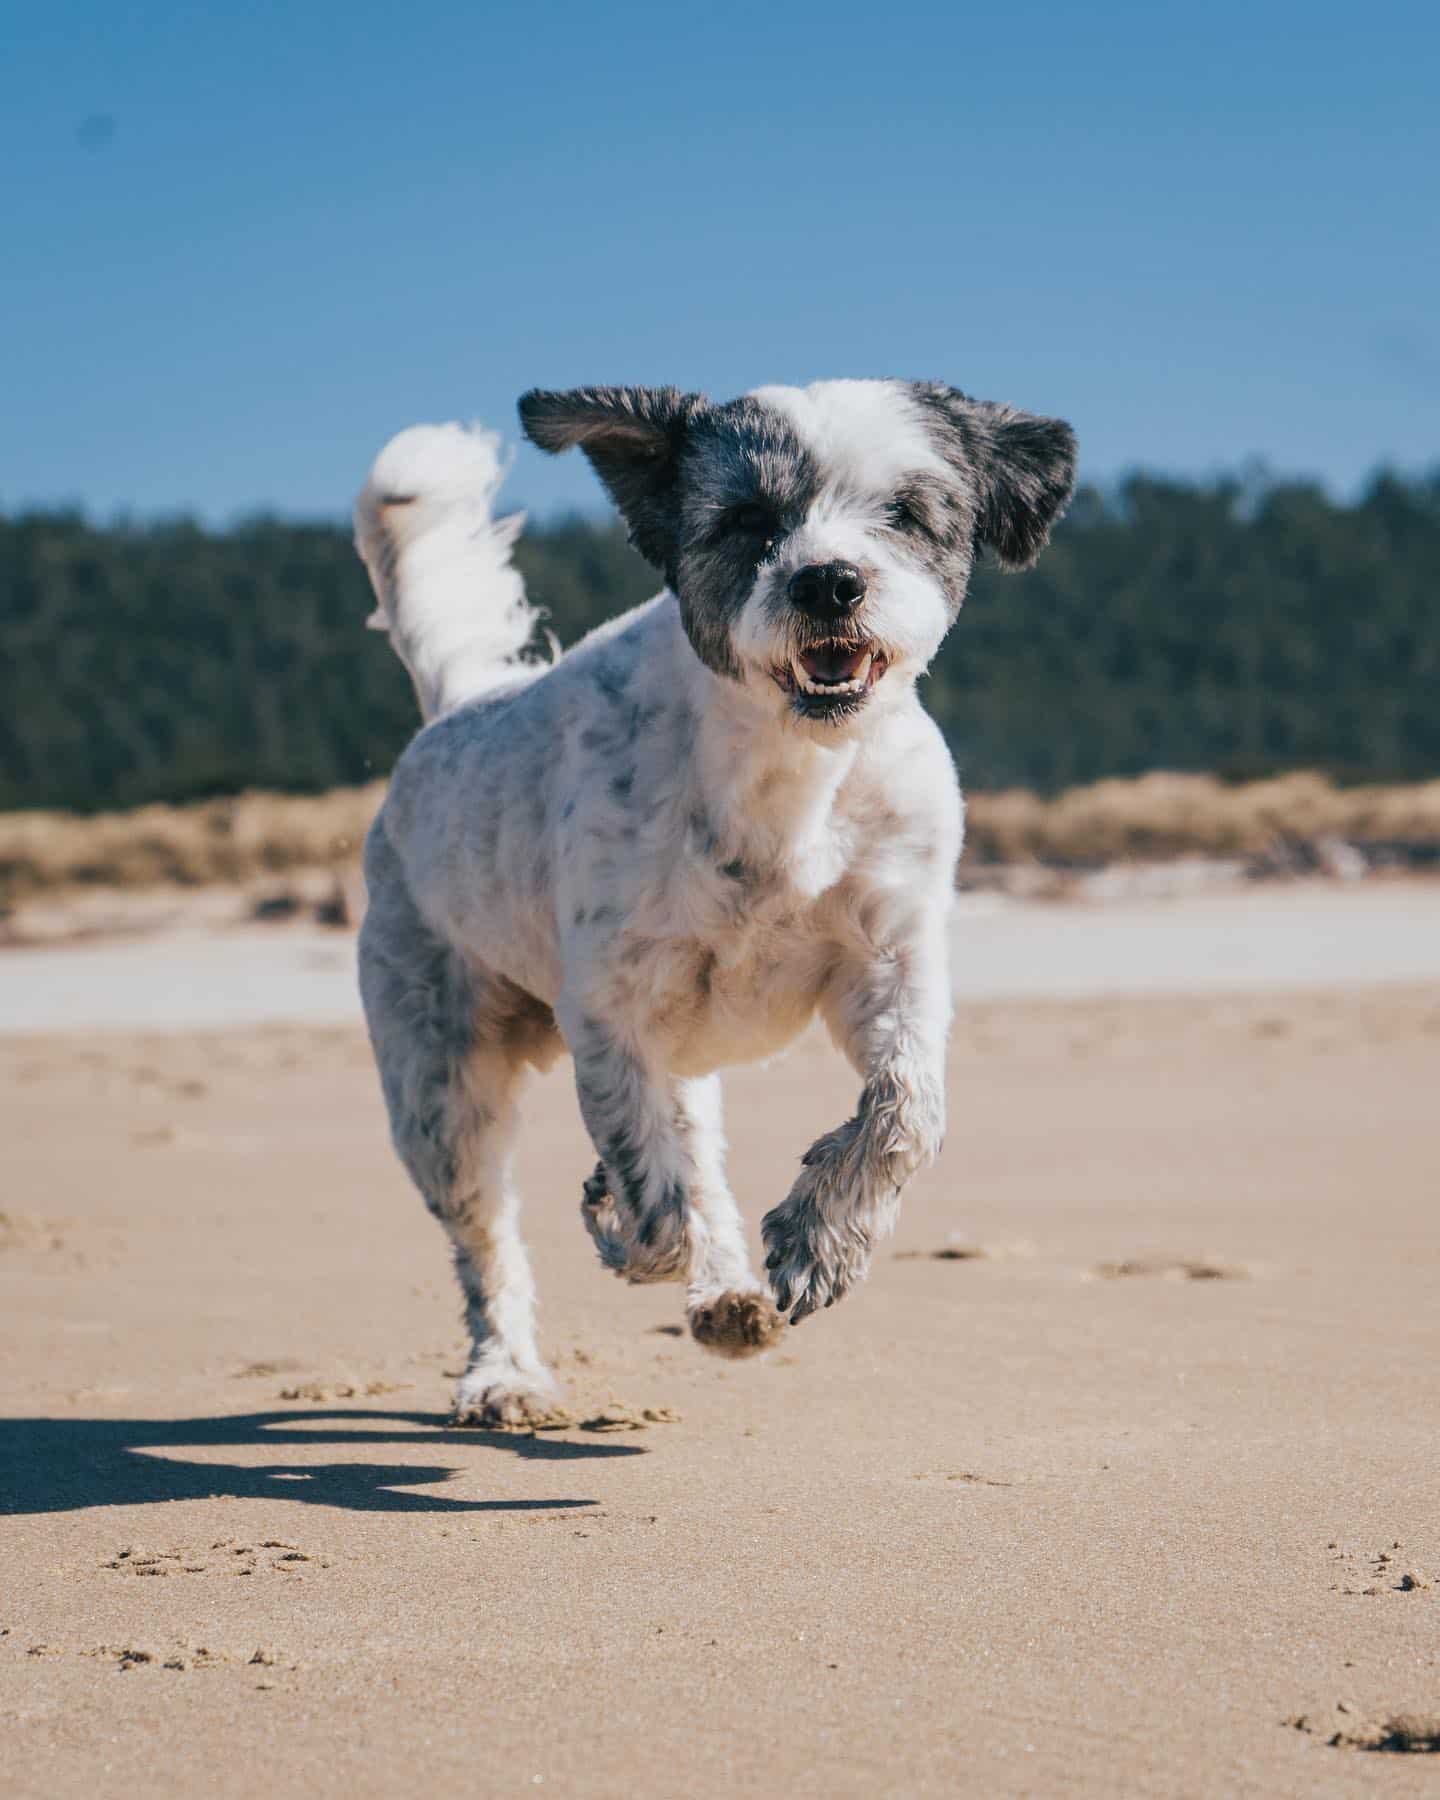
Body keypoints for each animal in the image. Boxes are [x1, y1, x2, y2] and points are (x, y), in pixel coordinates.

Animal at [351, 379, 1065, 1418]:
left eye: (905, 512)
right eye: (748, 521)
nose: (828, 581)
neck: (785, 767)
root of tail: (459, 704)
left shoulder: (890, 960)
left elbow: (904, 1111)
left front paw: (818, 1242)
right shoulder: (612, 1016)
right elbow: (654, 1203)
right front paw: (620, 1221)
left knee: (702, 1164)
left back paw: (728, 1294)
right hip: (441, 1086)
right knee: (491, 1239)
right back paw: (509, 1370)